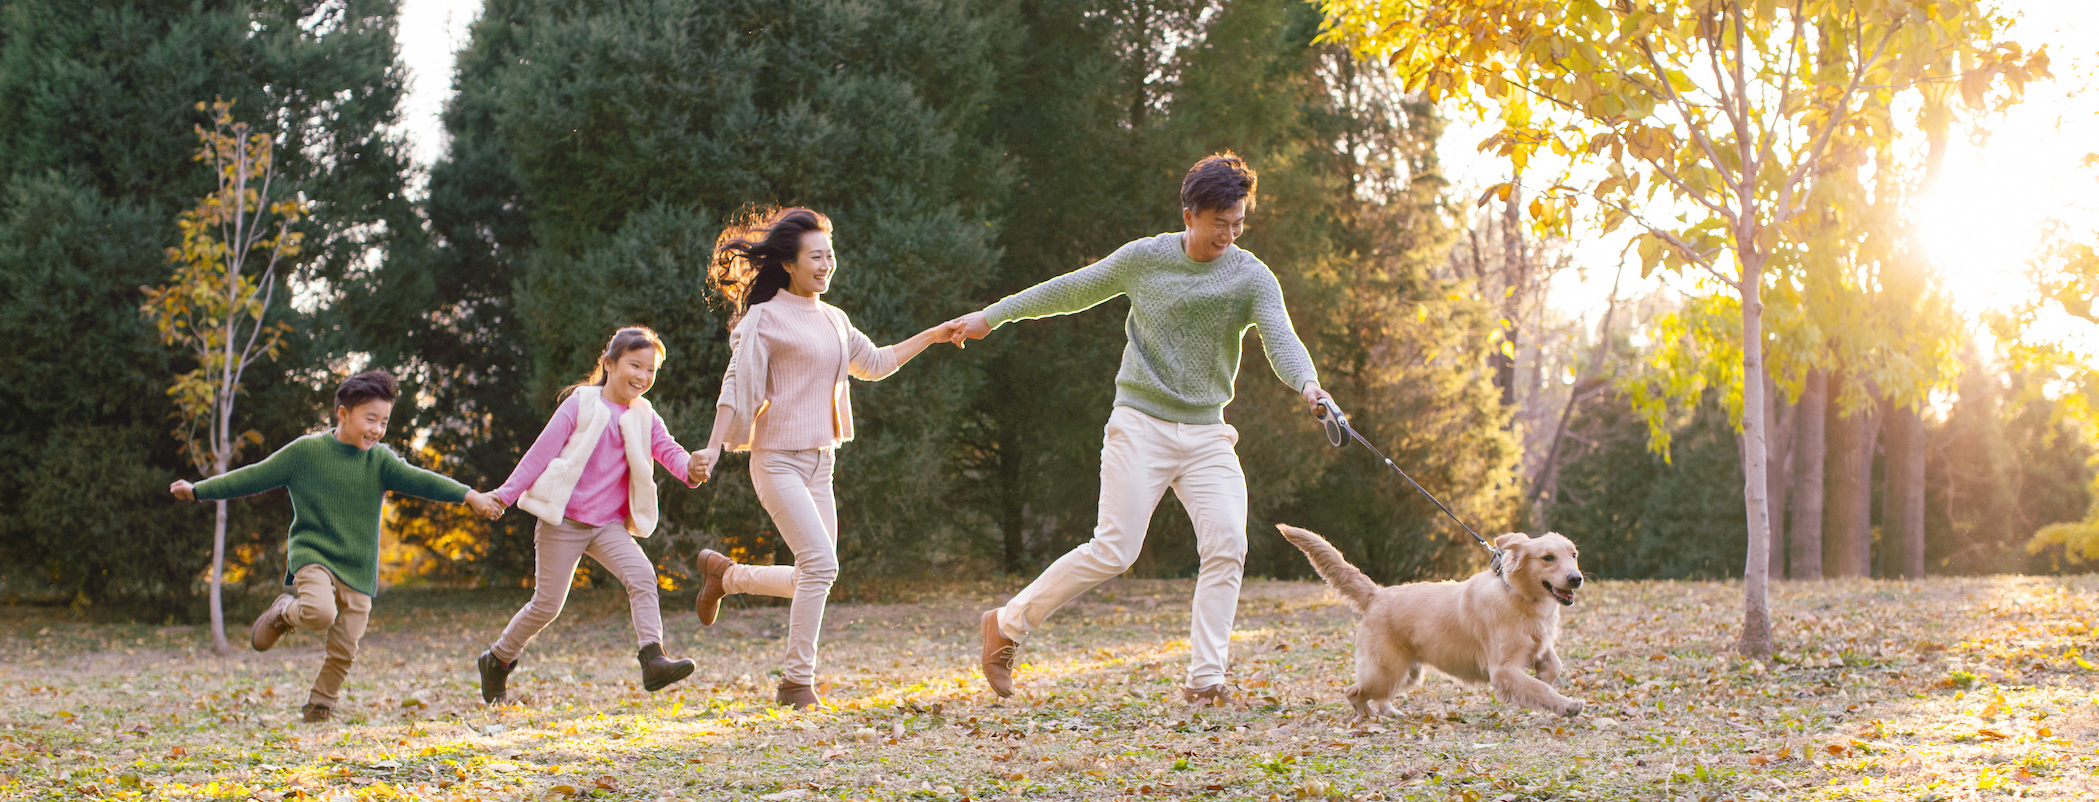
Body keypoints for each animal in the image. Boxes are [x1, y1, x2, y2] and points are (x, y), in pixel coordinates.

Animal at [1267, 526, 1578, 722]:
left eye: (1573, 554)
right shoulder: (1502, 670)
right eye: (1548, 558)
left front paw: (1544, 679)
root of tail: (1376, 594)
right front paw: (1566, 705)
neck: (1519, 596)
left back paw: (1388, 711)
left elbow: (1553, 668)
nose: (1576, 578)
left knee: (1380, 696)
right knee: (1353, 692)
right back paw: (1367, 717)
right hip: (1386, 671)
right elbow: (1540, 689)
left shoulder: (1538, 647)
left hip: (1407, 673)